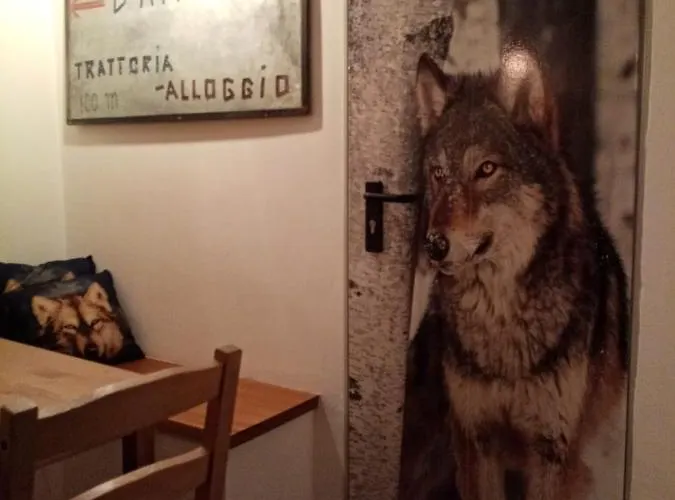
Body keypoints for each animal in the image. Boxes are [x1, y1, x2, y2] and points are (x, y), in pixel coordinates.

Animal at [406, 48, 629, 500]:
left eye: (486, 169)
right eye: (437, 173)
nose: (433, 245)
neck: (500, 318)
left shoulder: (554, 452)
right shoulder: (477, 440)